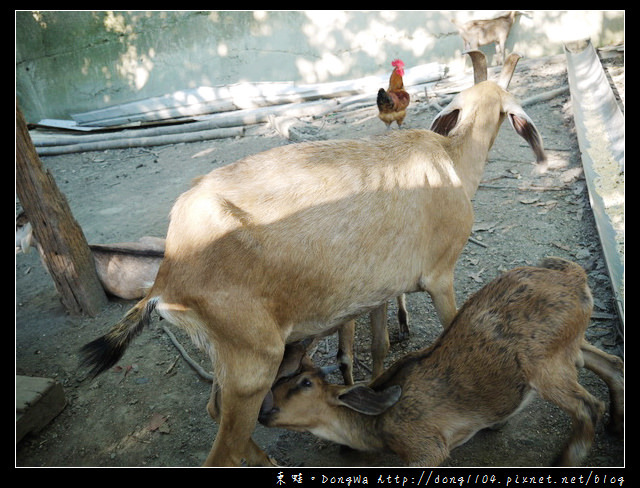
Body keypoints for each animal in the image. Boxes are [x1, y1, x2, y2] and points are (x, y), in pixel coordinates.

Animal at [81, 51, 544, 468]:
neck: (451, 162)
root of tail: (166, 279)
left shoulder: (379, 291)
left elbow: (378, 348)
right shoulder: (440, 277)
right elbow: (454, 330)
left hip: (231, 359)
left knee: (217, 412)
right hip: (253, 362)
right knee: (223, 451)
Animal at [258, 258, 624, 468]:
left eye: (304, 383)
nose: (263, 412)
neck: (377, 424)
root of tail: (575, 277)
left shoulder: (427, 445)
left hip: (543, 365)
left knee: (589, 405)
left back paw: (562, 462)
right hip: (570, 344)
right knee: (612, 364)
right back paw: (616, 426)